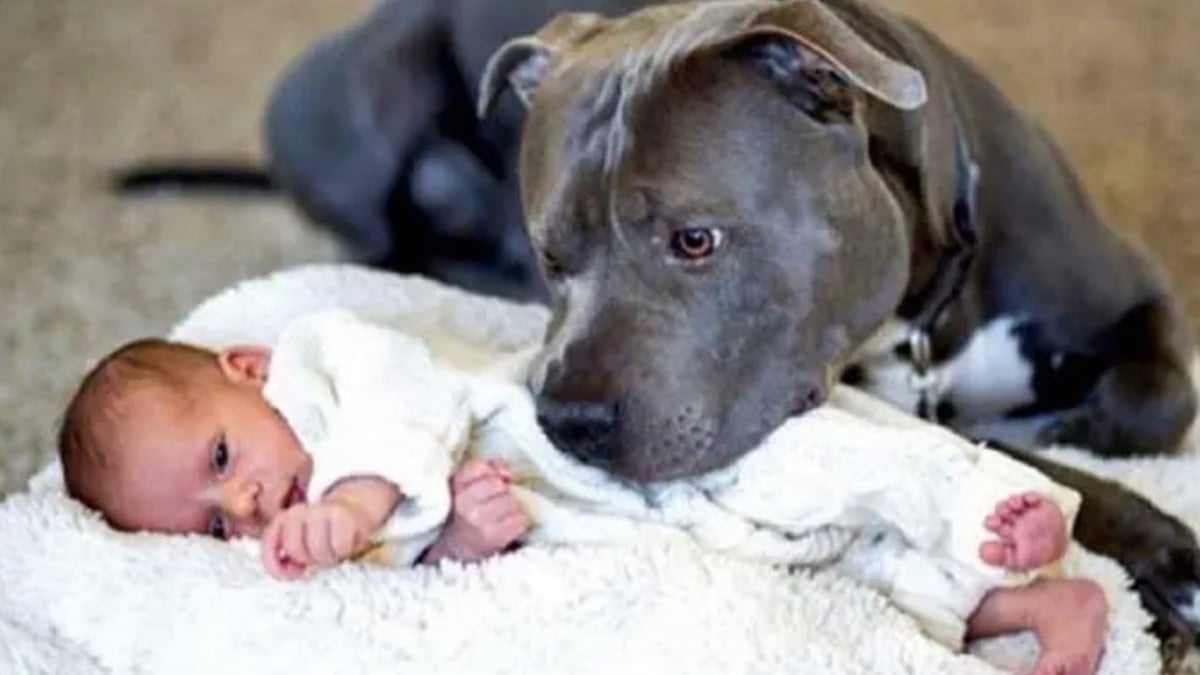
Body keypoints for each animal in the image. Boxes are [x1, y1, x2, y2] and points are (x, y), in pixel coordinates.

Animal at [475, 0, 1200, 638]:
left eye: (695, 240)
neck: (928, 315)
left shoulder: (1142, 299)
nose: (567, 420)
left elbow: (1155, 402)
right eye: (551, 256)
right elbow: (1021, 458)